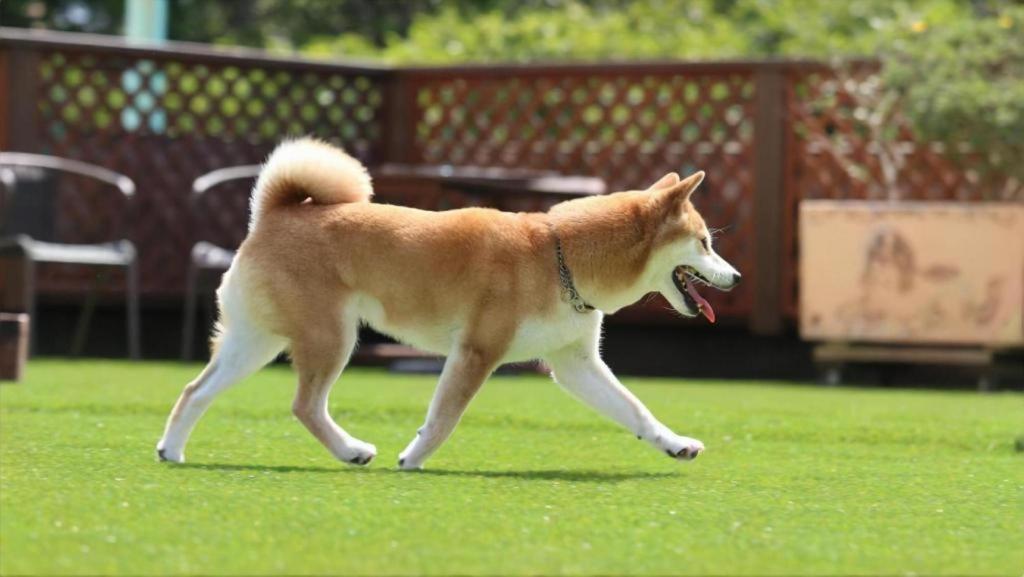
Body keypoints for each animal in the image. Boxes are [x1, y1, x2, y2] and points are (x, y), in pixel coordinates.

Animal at [155, 138, 741, 469]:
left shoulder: (576, 364)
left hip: (257, 343)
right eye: (705, 243)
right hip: (331, 338)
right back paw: (351, 451)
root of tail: (275, 214)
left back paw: (174, 452)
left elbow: (635, 409)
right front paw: (413, 459)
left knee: (194, 391)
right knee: (304, 405)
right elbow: (442, 420)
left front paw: (674, 444)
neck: (559, 257)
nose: (735, 277)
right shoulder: (477, 352)